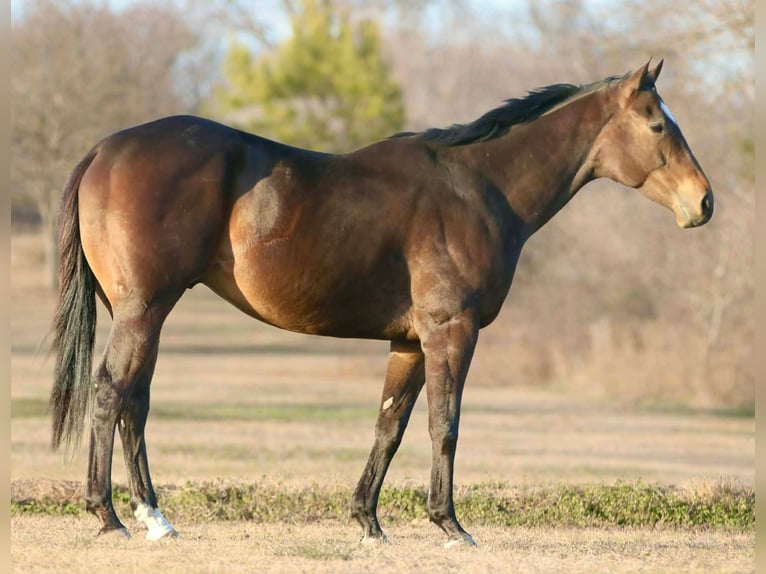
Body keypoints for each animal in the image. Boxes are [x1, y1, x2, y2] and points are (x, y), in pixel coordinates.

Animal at [49, 60, 712, 547]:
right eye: (658, 126)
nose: (703, 202)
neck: (479, 188)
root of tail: (105, 150)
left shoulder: (410, 341)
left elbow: (389, 424)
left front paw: (368, 521)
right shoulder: (451, 330)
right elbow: (445, 423)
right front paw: (450, 525)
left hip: (147, 313)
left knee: (134, 401)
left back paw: (155, 517)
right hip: (144, 310)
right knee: (111, 393)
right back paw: (108, 515)